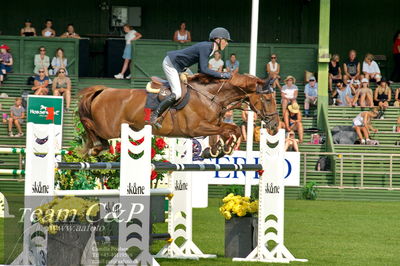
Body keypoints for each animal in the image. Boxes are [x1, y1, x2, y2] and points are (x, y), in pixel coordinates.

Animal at [78, 72, 278, 158]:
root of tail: (103, 91)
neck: (210, 96)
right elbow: (230, 130)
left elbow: (228, 130)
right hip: (108, 128)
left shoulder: (214, 125)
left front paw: (216, 151)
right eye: (268, 99)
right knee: (89, 124)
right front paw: (223, 148)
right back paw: (96, 147)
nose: (275, 125)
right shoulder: (196, 128)